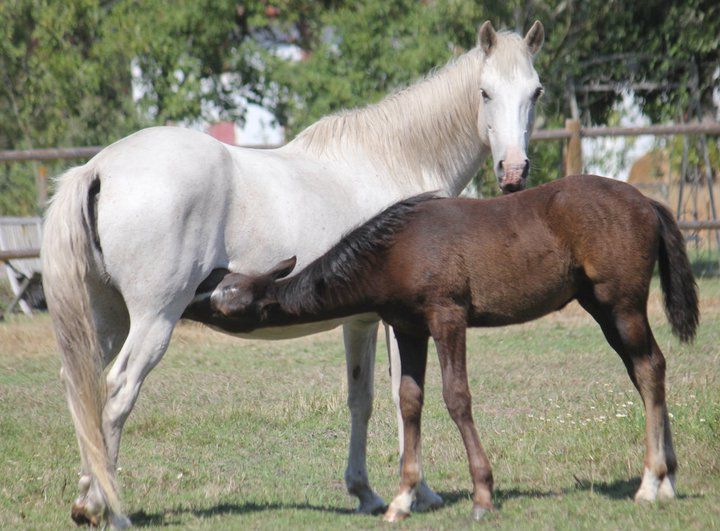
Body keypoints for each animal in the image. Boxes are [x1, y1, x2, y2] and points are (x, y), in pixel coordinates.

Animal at [41, 21, 545, 527]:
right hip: (153, 322)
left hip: (106, 321)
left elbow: (361, 399)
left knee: (81, 390)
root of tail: (98, 168)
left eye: (535, 92)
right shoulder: (399, 321)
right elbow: (404, 398)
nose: (513, 171)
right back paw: (111, 510)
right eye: (484, 92)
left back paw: (86, 500)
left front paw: (365, 492)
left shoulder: (359, 321)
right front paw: (417, 493)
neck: (396, 161)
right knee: (117, 393)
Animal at [196, 174, 699, 522]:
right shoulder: (408, 328)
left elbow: (456, 397)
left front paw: (482, 494)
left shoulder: (448, 319)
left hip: (622, 304)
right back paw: (669, 478)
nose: (191, 303)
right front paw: (402, 499)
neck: (395, 248)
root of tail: (647, 202)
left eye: (226, 302)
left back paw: (650, 482)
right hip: (600, 307)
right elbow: (410, 400)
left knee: (649, 368)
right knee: (647, 368)